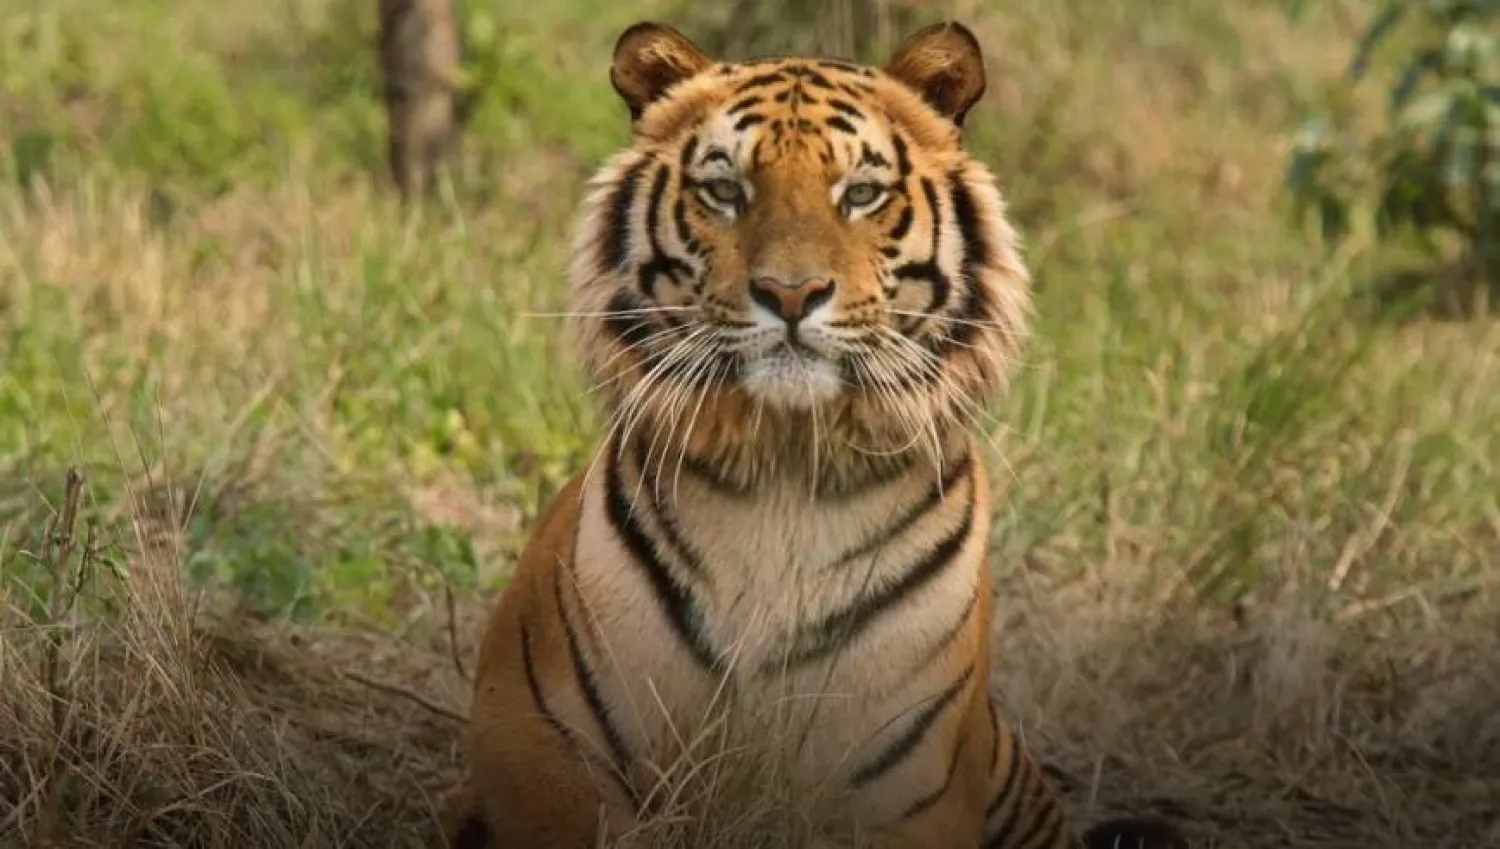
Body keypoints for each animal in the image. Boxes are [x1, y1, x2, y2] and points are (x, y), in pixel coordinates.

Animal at [441, 19, 1189, 849]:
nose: (790, 293)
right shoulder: (537, 750)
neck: (784, 473)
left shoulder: (903, 792)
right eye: (725, 190)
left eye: (860, 193)